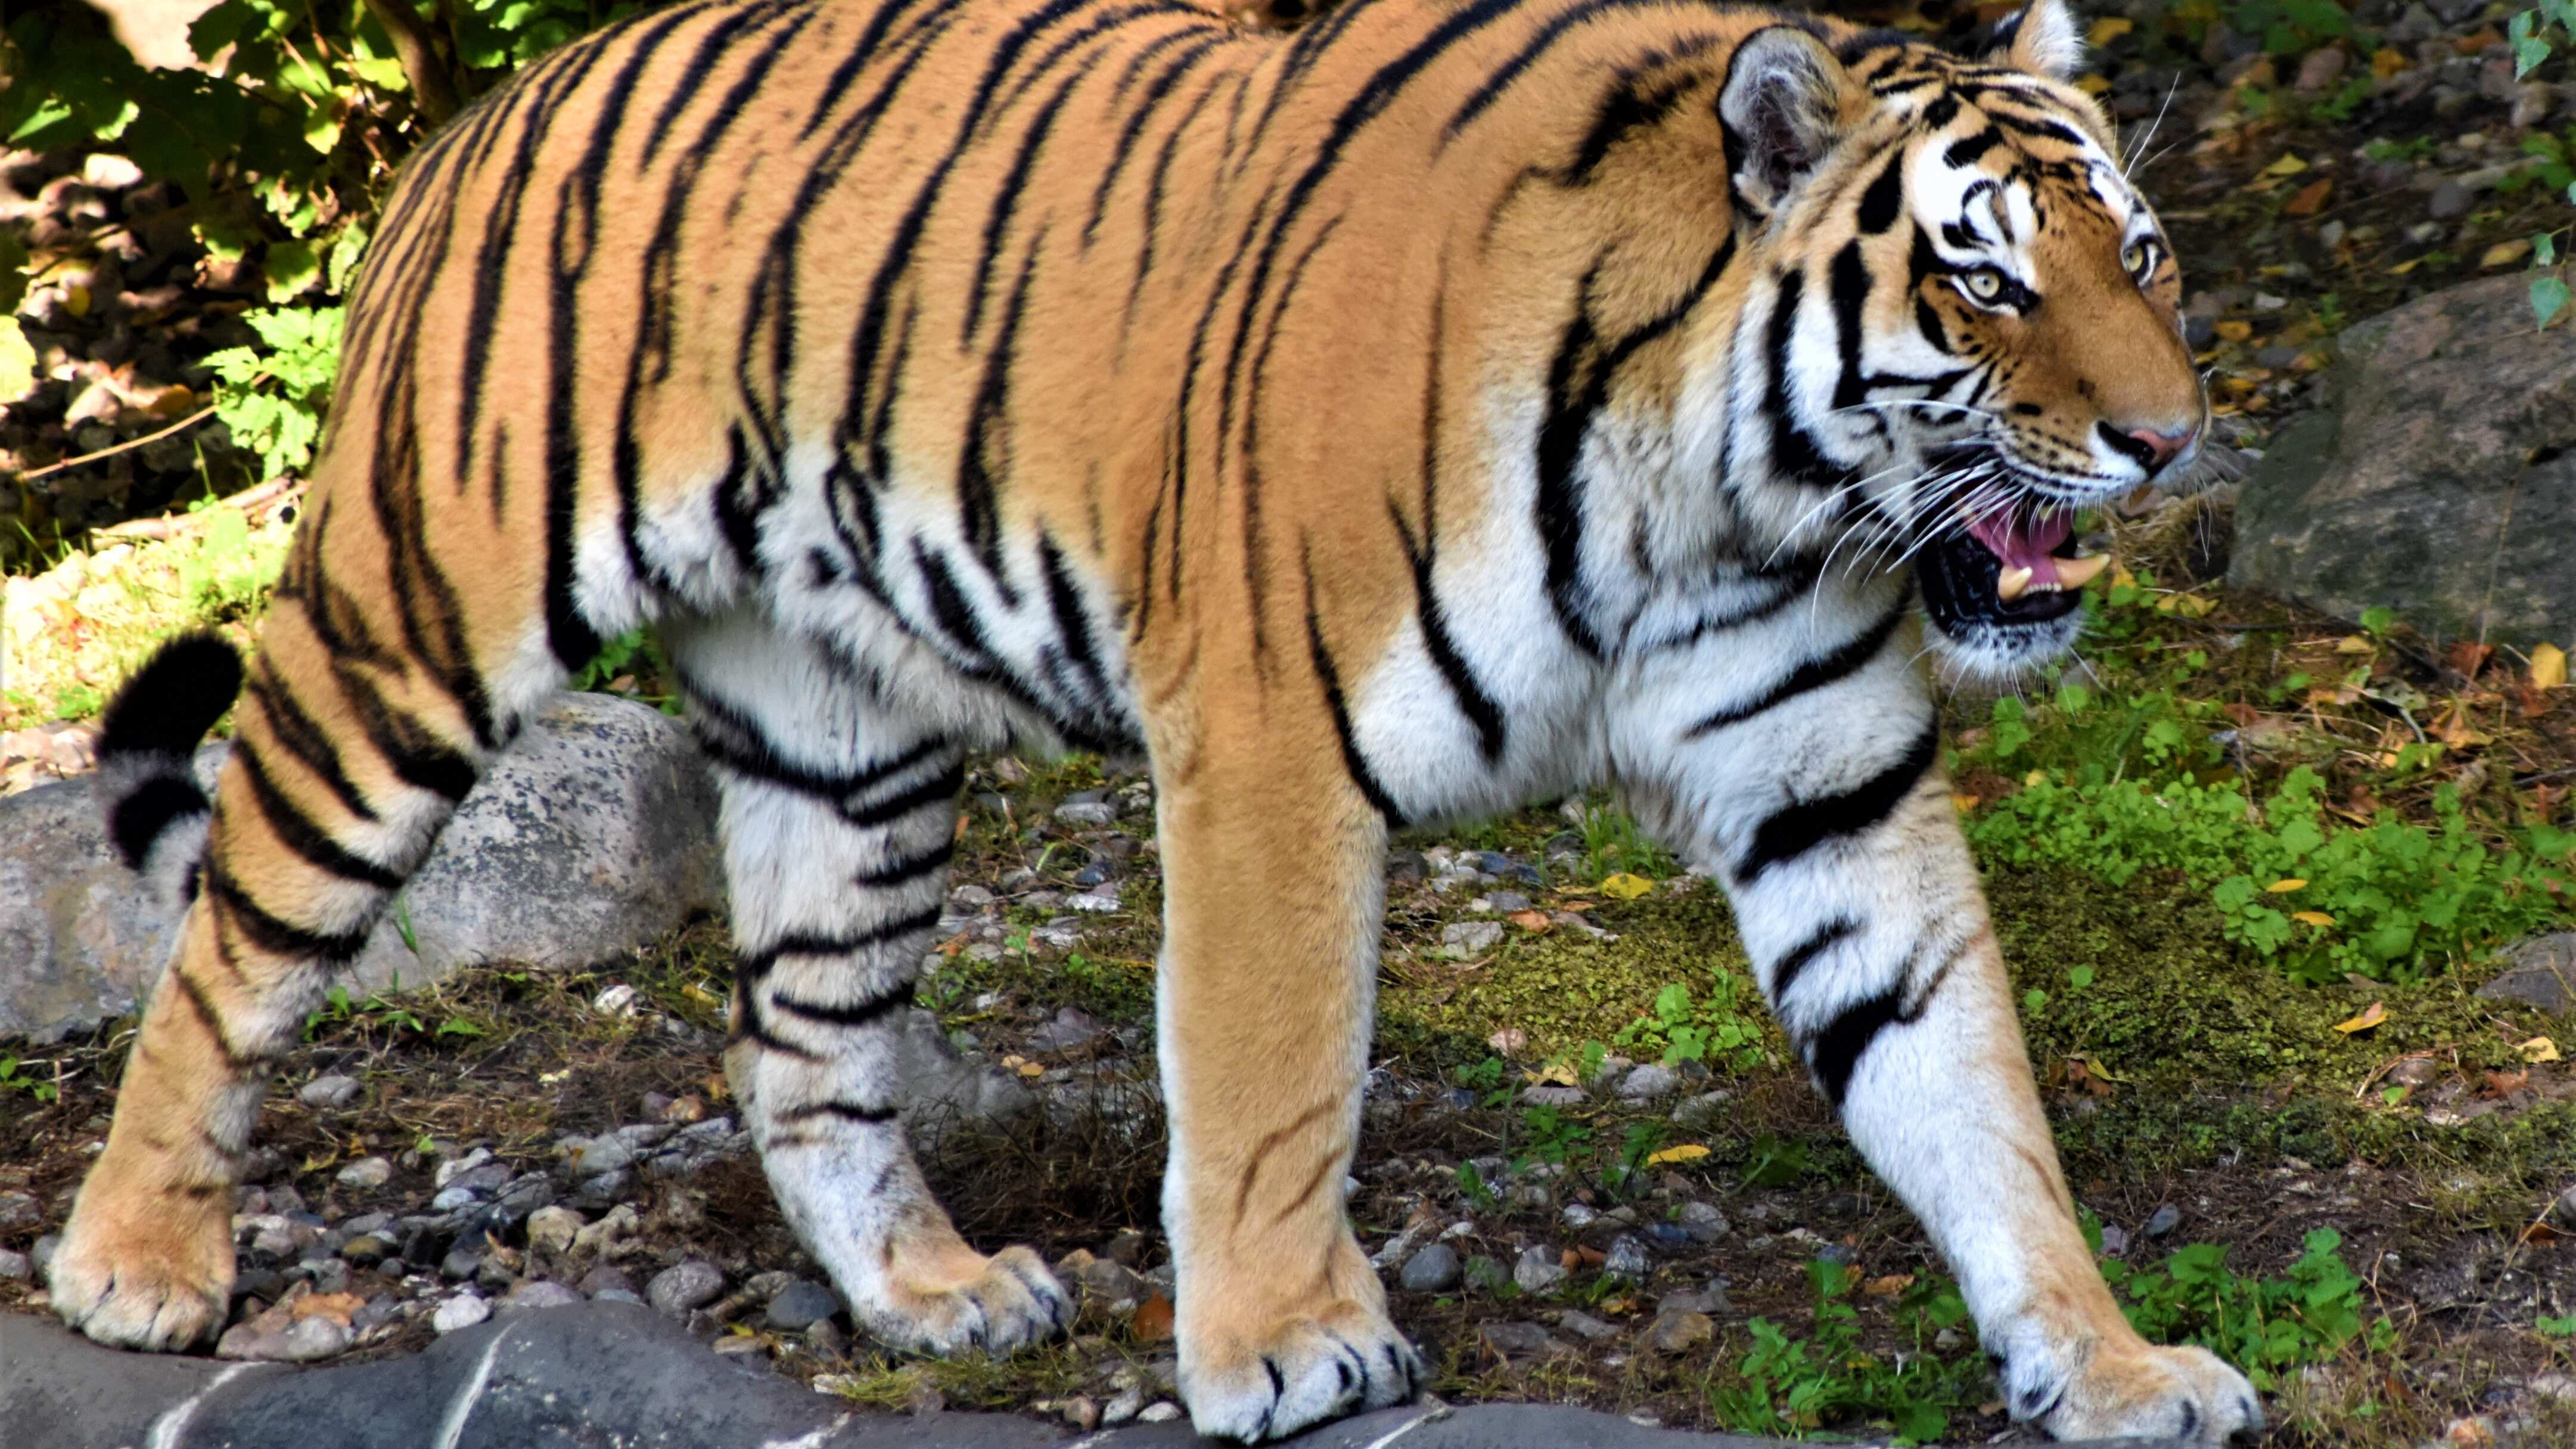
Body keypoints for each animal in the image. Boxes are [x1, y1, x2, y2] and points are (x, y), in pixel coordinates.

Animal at [48, 0, 2255, 1438]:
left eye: (2142, 255)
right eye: (1983, 284)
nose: (2167, 440)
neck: (1732, 495)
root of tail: (490, 105)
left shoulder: (1832, 789)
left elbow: (1968, 1088)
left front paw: (2114, 1363)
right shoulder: (1272, 751)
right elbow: (1274, 1088)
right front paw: (1287, 1347)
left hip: (849, 751)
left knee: (797, 1045)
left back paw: (936, 1296)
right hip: (415, 629)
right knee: (226, 940)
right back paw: (136, 1263)